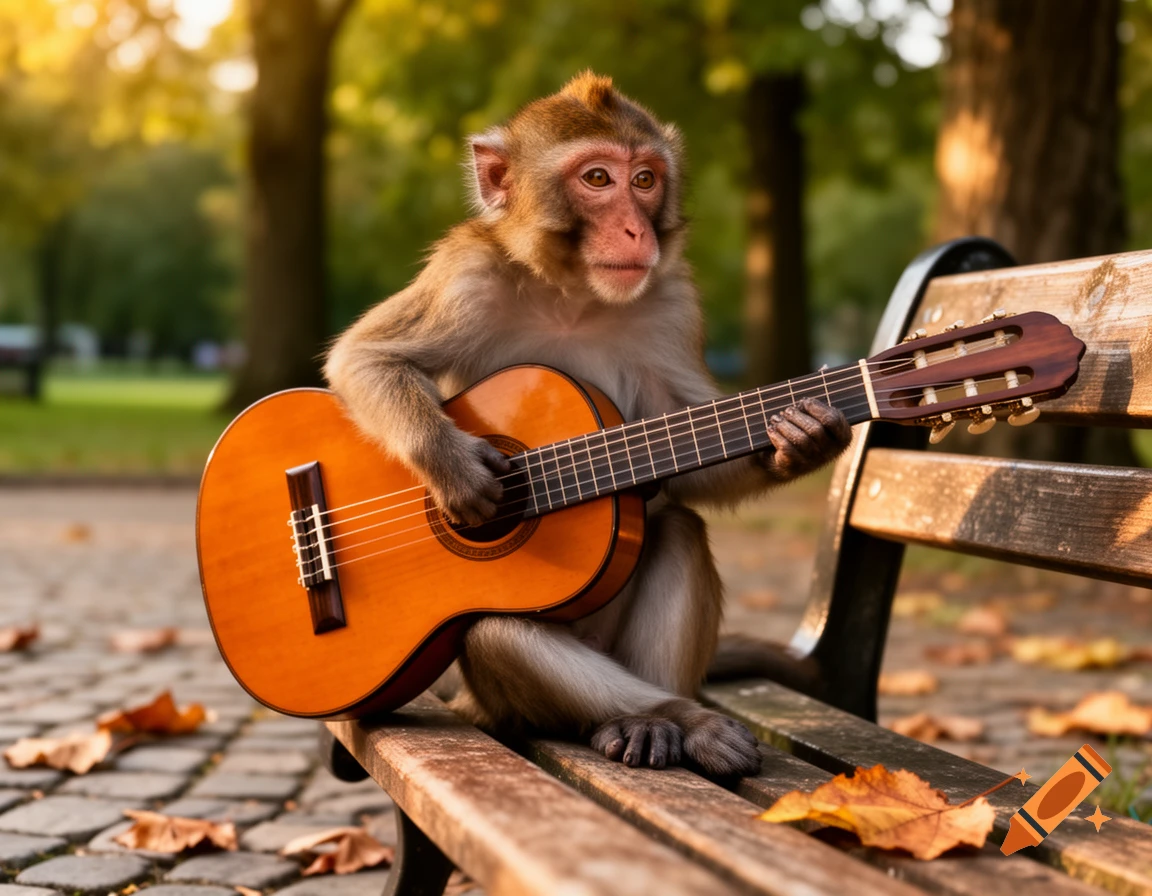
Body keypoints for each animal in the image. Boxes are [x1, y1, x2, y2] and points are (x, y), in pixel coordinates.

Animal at [324, 72, 853, 777]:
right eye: (598, 178)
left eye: (646, 180)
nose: (635, 230)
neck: (573, 294)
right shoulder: (466, 275)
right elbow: (366, 357)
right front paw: (455, 469)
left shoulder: (672, 305)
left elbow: (694, 477)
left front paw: (801, 438)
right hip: (493, 699)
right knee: (495, 631)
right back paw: (663, 717)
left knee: (680, 531)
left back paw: (664, 725)